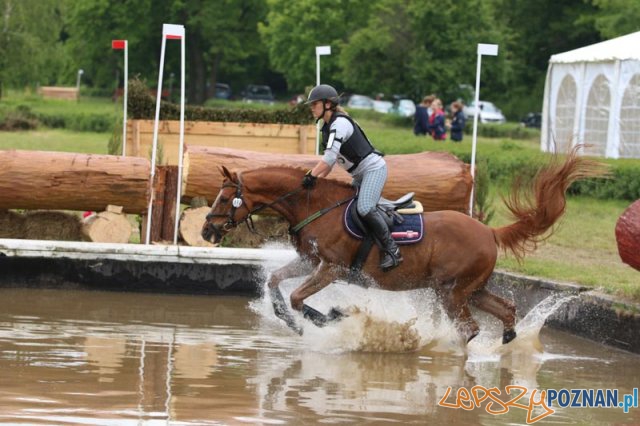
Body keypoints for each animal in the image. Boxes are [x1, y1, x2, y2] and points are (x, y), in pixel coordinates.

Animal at [201, 146, 604, 342]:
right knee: (505, 311)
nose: (206, 232)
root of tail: (489, 232)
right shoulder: (310, 262)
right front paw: (292, 321)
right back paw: (502, 349)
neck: (314, 205)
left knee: (469, 329)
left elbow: (301, 299)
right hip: (469, 289)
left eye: (223, 199)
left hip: (452, 292)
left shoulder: (331, 268)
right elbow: (275, 284)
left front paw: (334, 316)